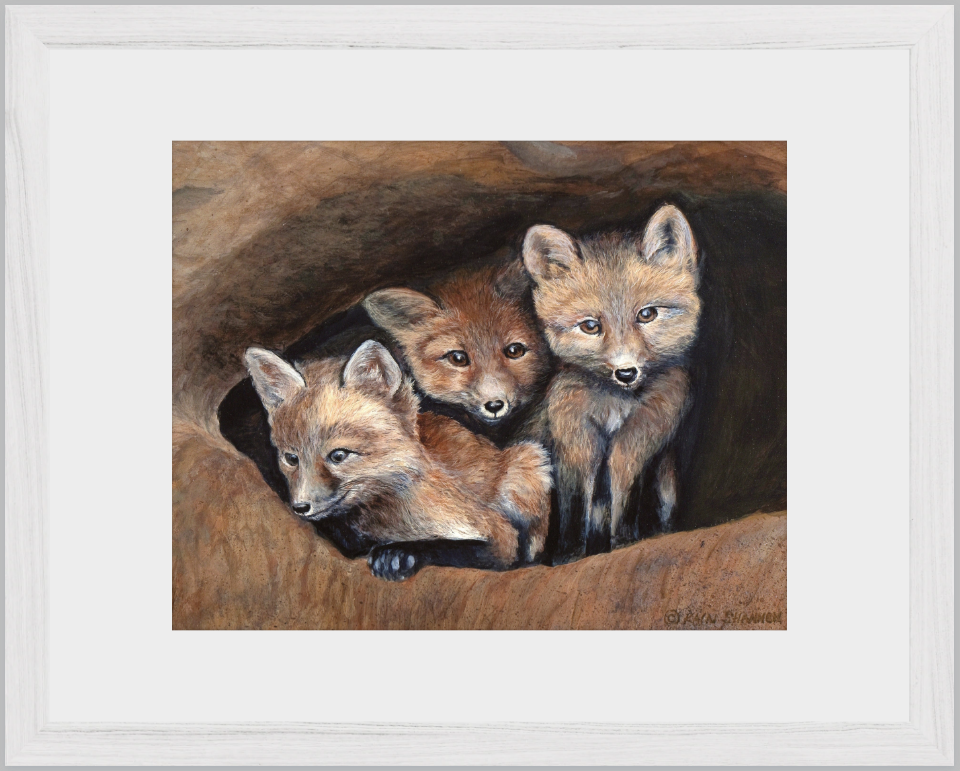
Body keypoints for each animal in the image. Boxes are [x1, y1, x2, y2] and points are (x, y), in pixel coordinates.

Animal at [245, 339, 552, 581]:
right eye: (291, 458)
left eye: (339, 455)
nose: (300, 507)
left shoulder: (498, 535)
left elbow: (450, 547)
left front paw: (398, 554)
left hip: (530, 463)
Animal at [520, 204, 701, 561]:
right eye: (590, 326)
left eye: (647, 315)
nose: (626, 372)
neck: (617, 406)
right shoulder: (575, 439)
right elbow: (575, 506)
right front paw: (569, 555)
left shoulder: (640, 439)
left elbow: (625, 497)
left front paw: (624, 541)